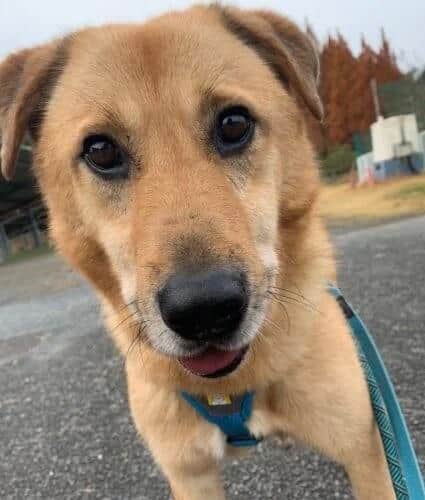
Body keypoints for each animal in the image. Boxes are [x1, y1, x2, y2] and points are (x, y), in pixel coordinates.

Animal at [0, 5, 395, 499]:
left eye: (234, 124)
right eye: (101, 150)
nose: (204, 310)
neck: (234, 385)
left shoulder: (366, 453)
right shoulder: (190, 474)